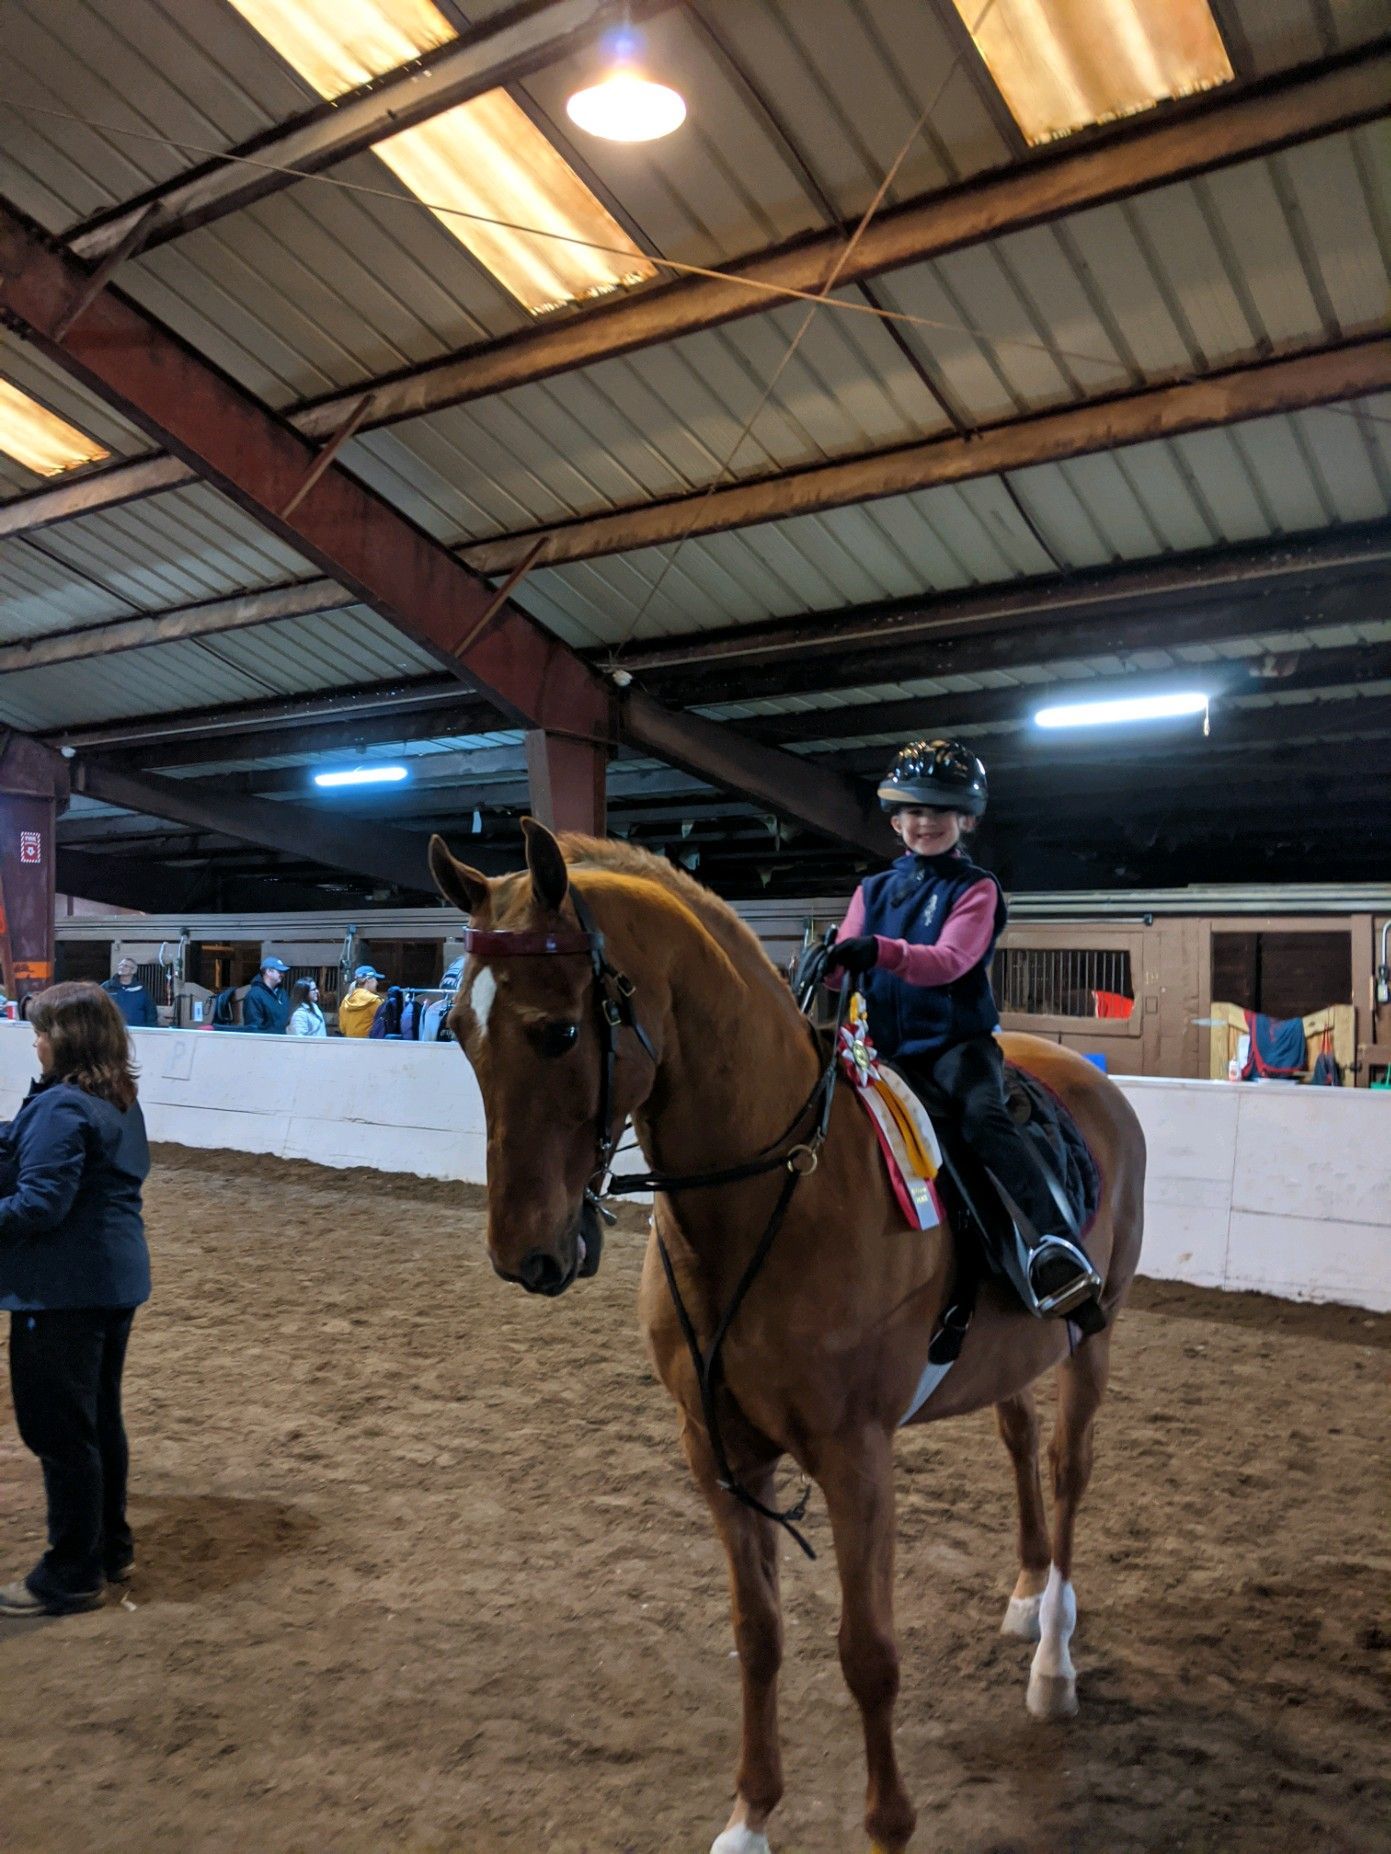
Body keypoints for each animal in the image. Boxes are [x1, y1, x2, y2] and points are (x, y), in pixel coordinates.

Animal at [428, 820, 1146, 1854]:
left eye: (557, 1031)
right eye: (456, 1030)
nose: (526, 1255)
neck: (772, 1196)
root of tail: (1092, 1083)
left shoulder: (855, 1459)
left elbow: (867, 1654)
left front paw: (886, 1826)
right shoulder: (717, 1450)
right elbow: (757, 1633)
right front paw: (749, 1816)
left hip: (1092, 1336)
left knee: (1067, 1468)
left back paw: (1052, 1658)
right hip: (1011, 1356)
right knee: (1018, 1443)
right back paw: (1023, 1591)